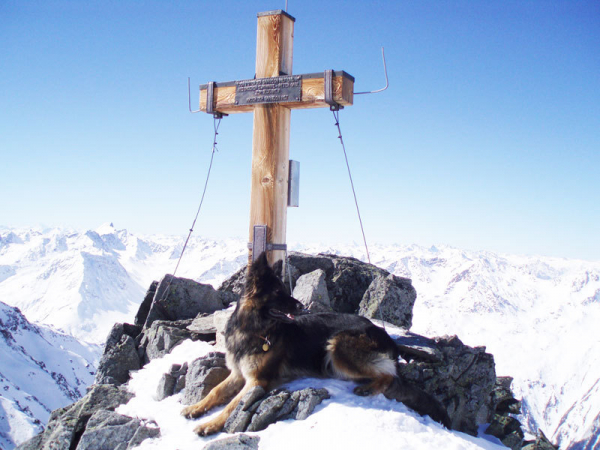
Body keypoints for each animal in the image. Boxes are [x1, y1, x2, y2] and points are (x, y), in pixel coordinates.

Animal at [183, 251, 450, 434]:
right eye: (278, 293)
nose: (301, 306)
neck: (254, 329)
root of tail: (385, 336)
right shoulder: (239, 374)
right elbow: (216, 391)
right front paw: (196, 407)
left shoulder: (257, 380)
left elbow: (232, 405)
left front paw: (210, 424)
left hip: (337, 345)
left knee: (389, 377)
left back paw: (367, 388)